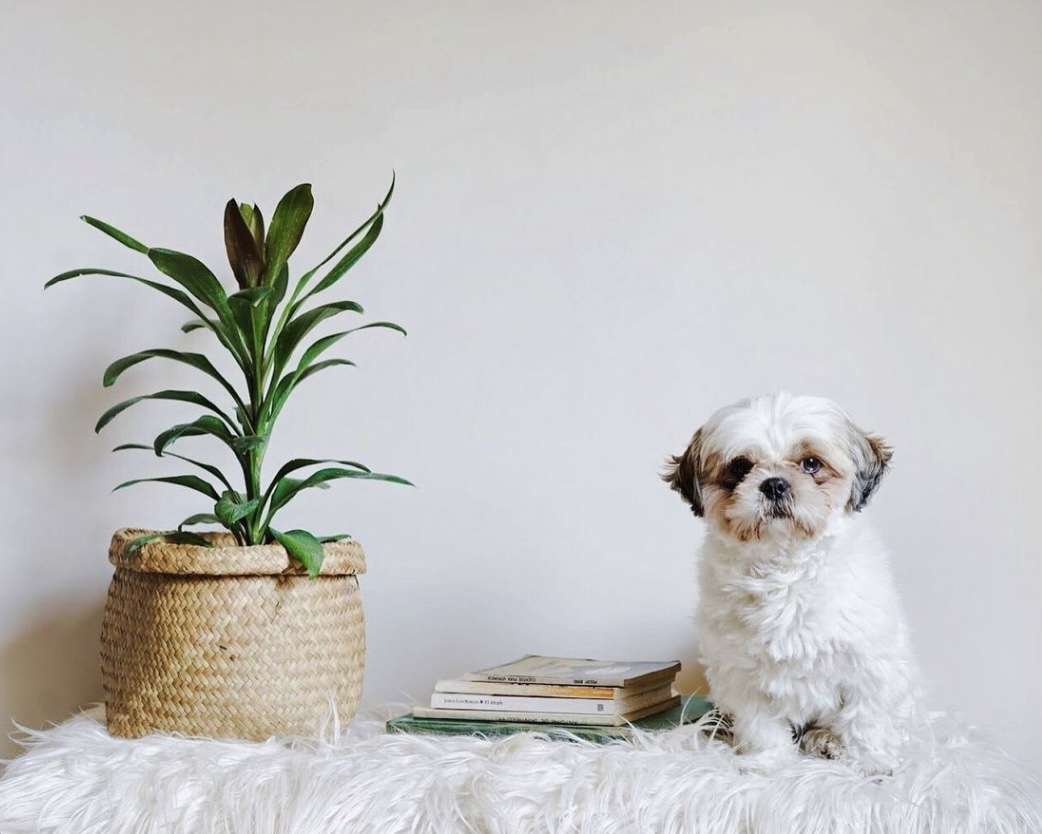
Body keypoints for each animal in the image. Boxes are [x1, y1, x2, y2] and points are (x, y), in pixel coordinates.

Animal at [666, 394, 921, 771]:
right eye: (740, 468)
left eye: (811, 464)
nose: (774, 483)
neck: (784, 569)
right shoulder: (742, 675)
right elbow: (761, 725)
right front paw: (768, 762)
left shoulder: (868, 665)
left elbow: (867, 720)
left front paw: (871, 763)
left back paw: (828, 740)